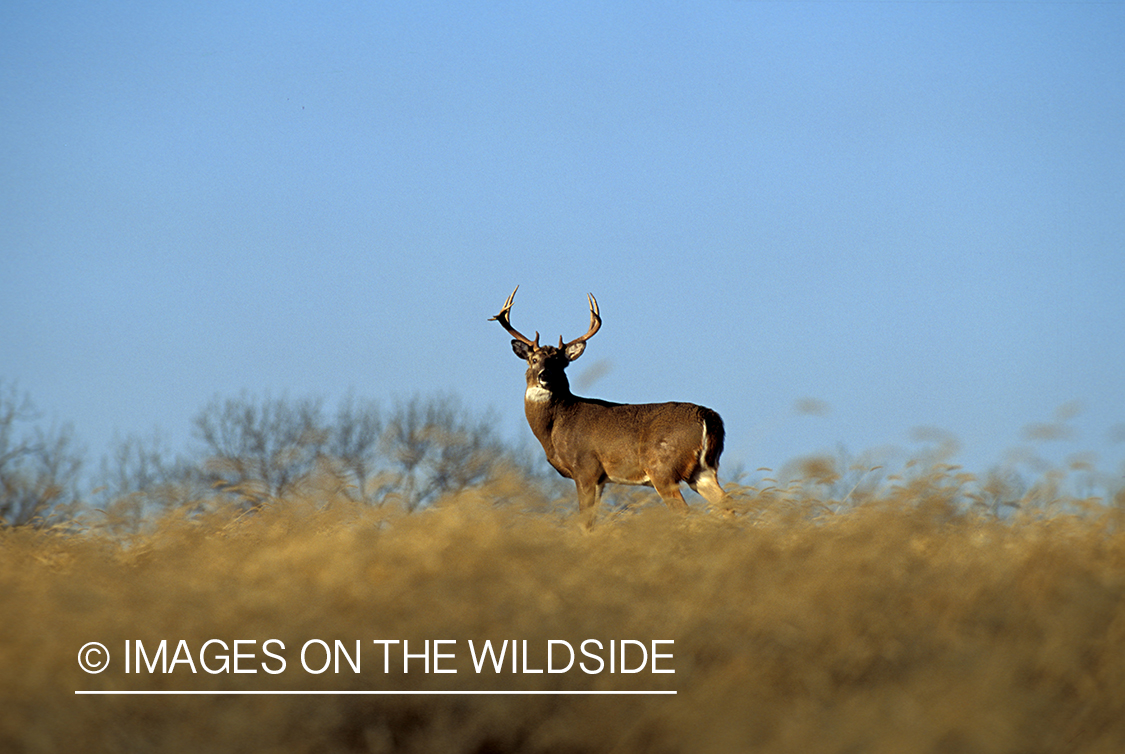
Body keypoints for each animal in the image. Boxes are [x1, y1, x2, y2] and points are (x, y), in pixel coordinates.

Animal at [492, 284, 729, 526]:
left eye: (560, 363)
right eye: (533, 360)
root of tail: (708, 416)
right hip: (702, 471)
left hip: (663, 468)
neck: (555, 428)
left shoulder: (586, 468)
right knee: (729, 505)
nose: (544, 376)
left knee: (685, 512)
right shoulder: (600, 479)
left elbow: (584, 523)